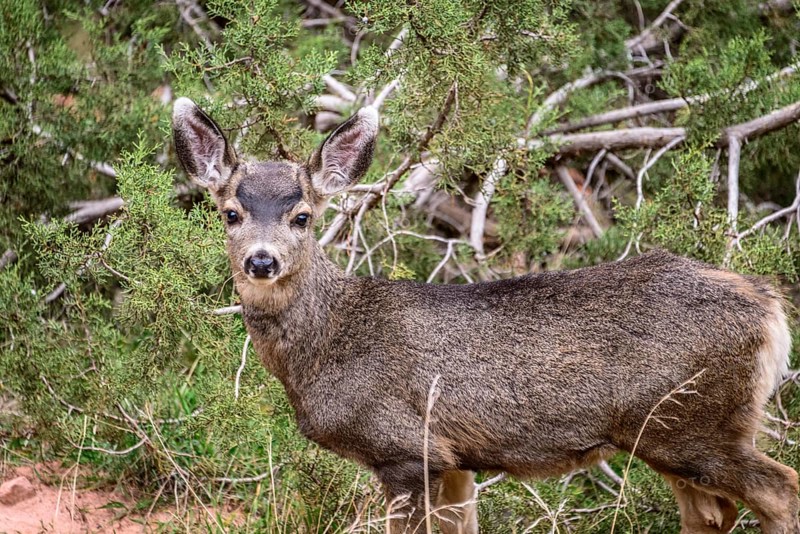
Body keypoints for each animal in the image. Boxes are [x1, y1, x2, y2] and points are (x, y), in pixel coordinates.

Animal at [172, 97, 799, 534]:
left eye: (302, 216)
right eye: (230, 213)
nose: (261, 260)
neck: (325, 346)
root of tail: (769, 307)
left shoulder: (406, 447)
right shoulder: (454, 461)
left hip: (693, 424)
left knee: (780, 489)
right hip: (675, 434)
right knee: (712, 514)